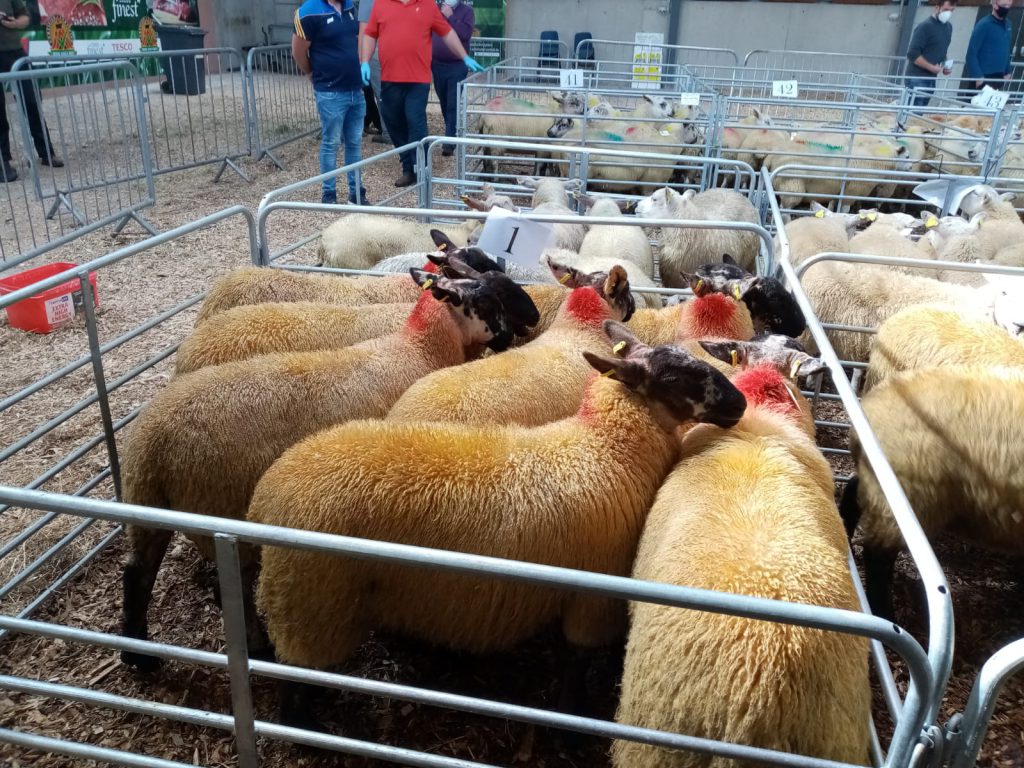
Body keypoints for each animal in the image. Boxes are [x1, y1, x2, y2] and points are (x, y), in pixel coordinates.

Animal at [119, 262, 539, 671]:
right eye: (486, 302)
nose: (513, 336)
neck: (416, 348)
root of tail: (152, 445)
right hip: (215, 504)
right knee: (227, 587)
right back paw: (258, 649)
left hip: (147, 501)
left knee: (136, 573)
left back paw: (138, 655)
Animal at [249, 320, 747, 726]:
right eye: (674, 378)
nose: (740, 402)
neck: (606, 447)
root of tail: (266, 494)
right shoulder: (591, 595)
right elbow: (575, 665)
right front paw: (572, 717)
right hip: (312, 602)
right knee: (295, 688)